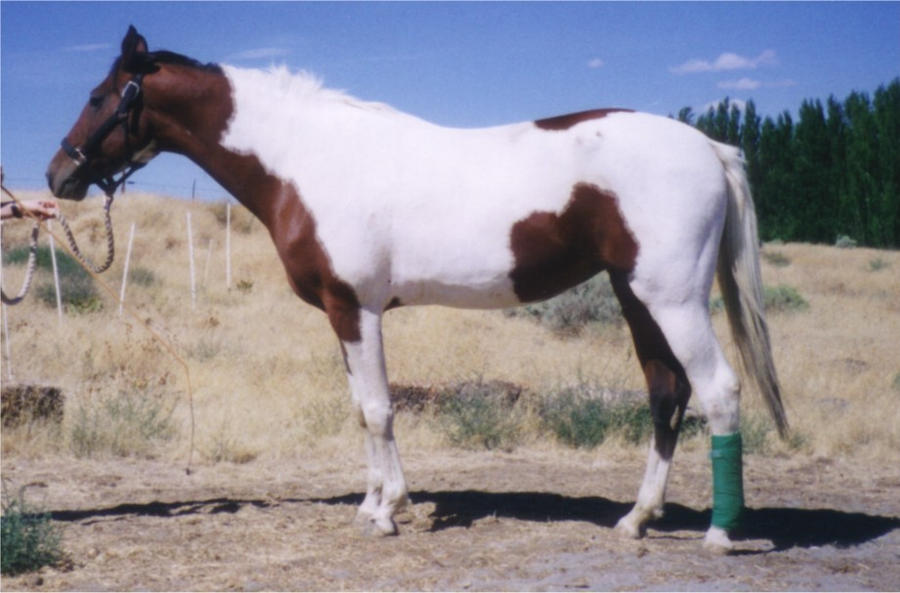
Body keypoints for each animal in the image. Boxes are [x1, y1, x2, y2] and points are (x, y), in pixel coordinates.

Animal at [47, 26, 787, 552]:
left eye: (98, 98)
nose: (58, 175)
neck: (309, 159)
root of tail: (710, 147)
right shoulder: (343, 313)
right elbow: (361, 408)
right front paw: (372, 503)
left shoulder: (356, 308)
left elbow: (378, 409)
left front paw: (387, 512)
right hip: (638, 297)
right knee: (667, 393)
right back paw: (636, 518)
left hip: (672, 299)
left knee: (718, 390)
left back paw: (721, 533)